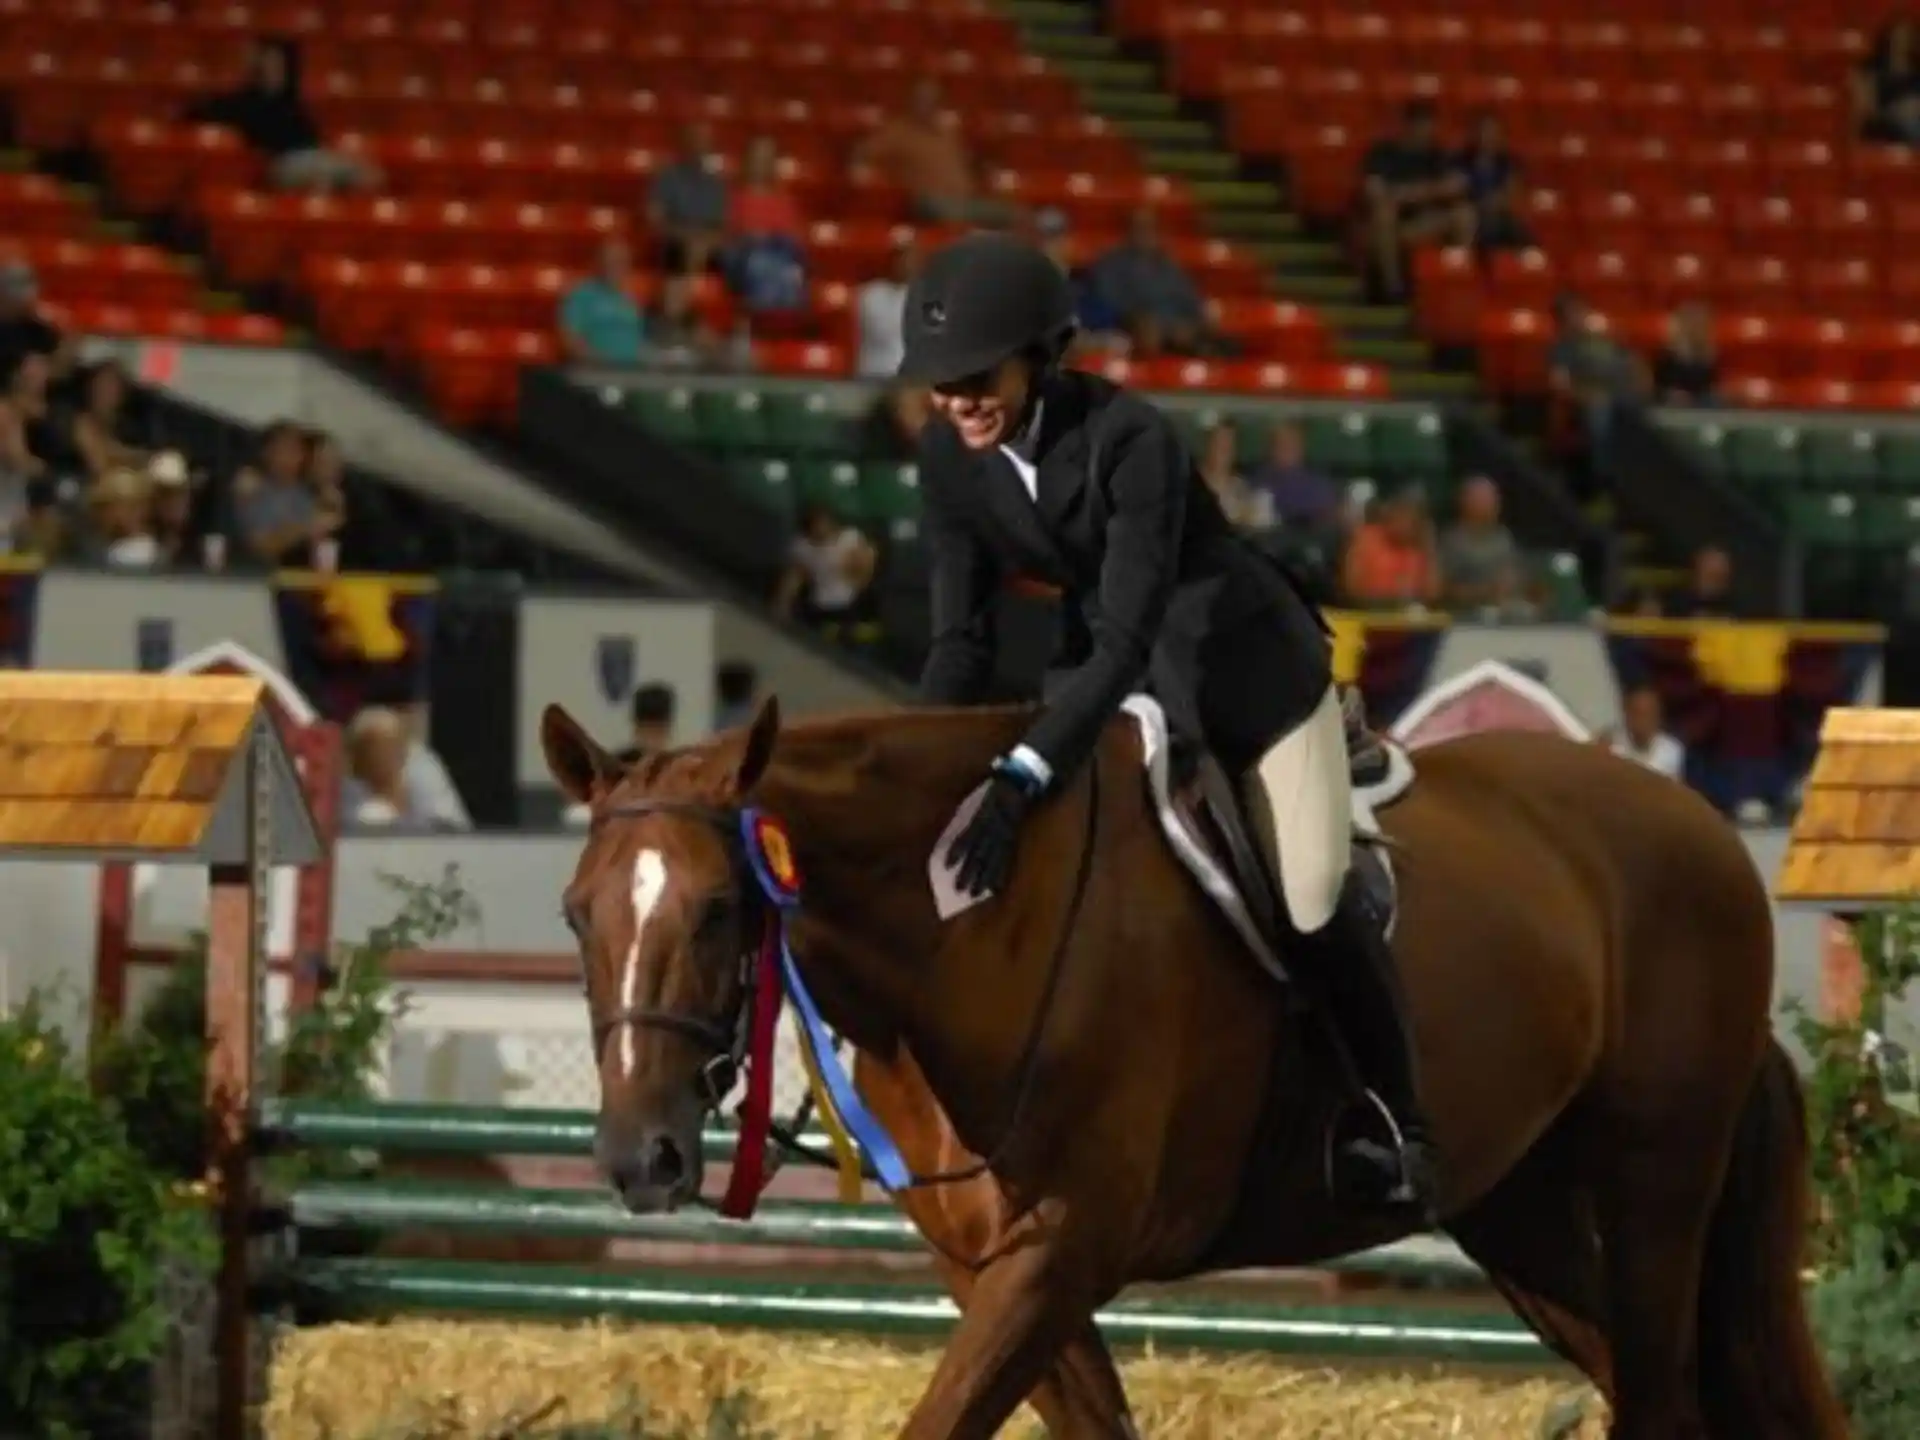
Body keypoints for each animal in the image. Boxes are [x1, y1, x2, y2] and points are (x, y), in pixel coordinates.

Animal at [540, 694, 1847, 1440]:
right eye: (574, 914)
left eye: (721, 911)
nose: (640, 1157)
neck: (969, 934)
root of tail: (1701, 827)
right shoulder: (1000, 1271)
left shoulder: (1062, 1251)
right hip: (1516, 1209)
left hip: (1653, 1190)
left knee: (1662, 1400)